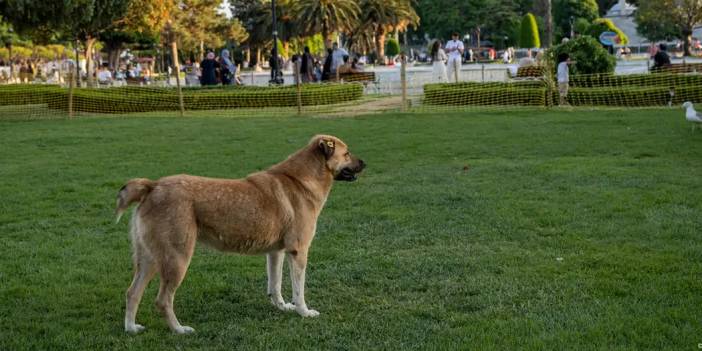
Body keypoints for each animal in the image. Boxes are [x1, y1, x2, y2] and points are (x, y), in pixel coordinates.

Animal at [114, 135, 368, 336]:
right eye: (347, 153)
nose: (365, 163)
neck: (300, 180)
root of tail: (153, 186)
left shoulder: (276, 252)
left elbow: (275, 284)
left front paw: (281, 307)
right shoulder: (299, 251)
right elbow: (299, 290)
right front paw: (303, 312)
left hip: (149, 259)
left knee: (132, 293)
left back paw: (131, 328)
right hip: (176, 259)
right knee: (162, 300)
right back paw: (179, 330)